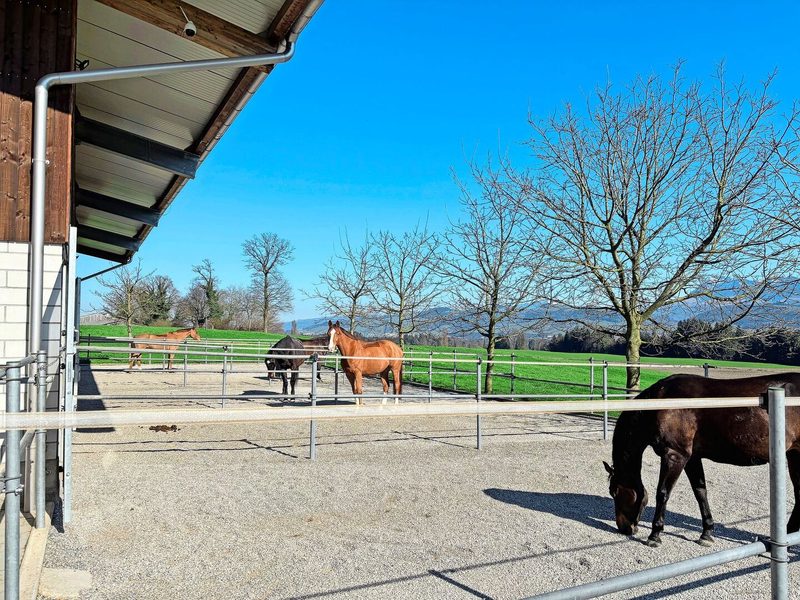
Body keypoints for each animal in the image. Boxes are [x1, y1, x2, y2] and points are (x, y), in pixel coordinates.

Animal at [603, 373, 800, 548]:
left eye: (614, 492)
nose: (624, 528)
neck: (662, 402)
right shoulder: (692, 458)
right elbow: (700, 492)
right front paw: (706, 533)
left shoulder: (675, 456)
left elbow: (663, 493)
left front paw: (655, 535)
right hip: (794, 455)